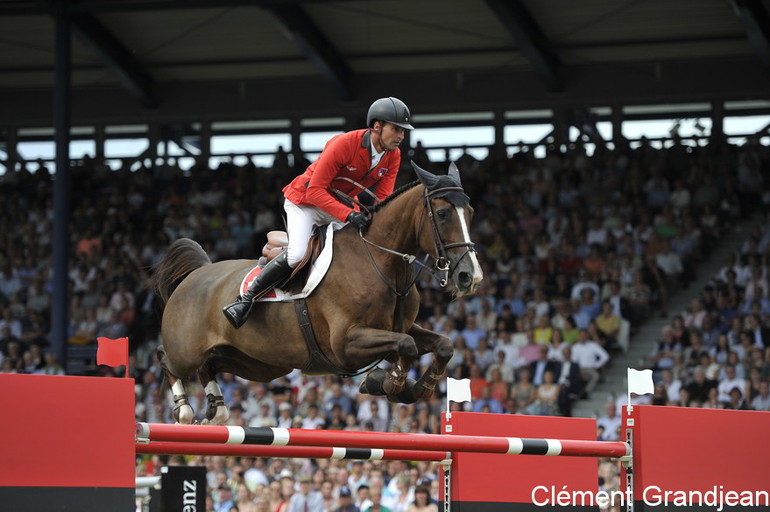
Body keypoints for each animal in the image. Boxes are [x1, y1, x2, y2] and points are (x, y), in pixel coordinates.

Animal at [148, 161, 480, 424]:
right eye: (442, 213)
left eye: (471, 212)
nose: (470, 276)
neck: (380, 263)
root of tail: (196, 273)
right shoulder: (346, 343)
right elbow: (407, 347)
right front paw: (388, 384)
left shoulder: (400, 327)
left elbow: (442, 345)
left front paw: (413, 389)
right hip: (187, 350)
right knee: (166, 357)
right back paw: (185, 410)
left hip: (257, 364)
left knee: (210, 365)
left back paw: (216, 409)